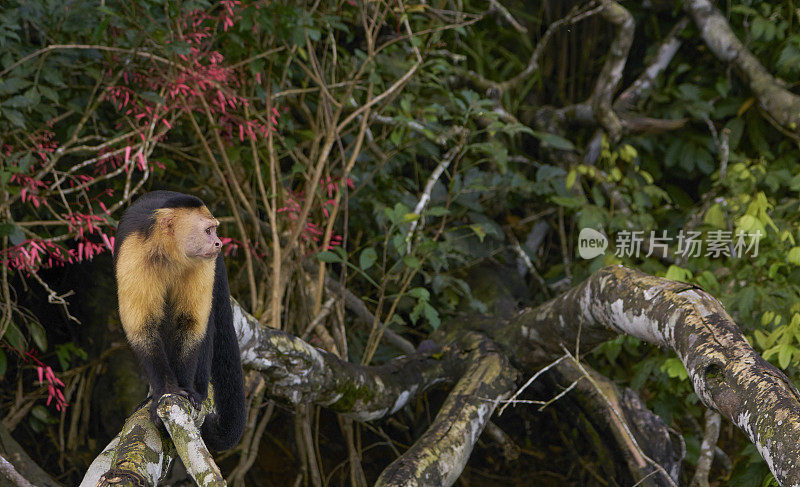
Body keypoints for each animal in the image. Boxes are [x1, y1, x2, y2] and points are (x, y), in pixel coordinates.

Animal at [112, 191, 244, 450]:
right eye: (208, 231)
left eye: (215, 230)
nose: (219, 243)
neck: (170, 252)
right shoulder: (135, 255)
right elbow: (144, 328)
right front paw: (165, 391)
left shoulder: (203, 263)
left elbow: (190, 323)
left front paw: (186, 390)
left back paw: (199, 388)